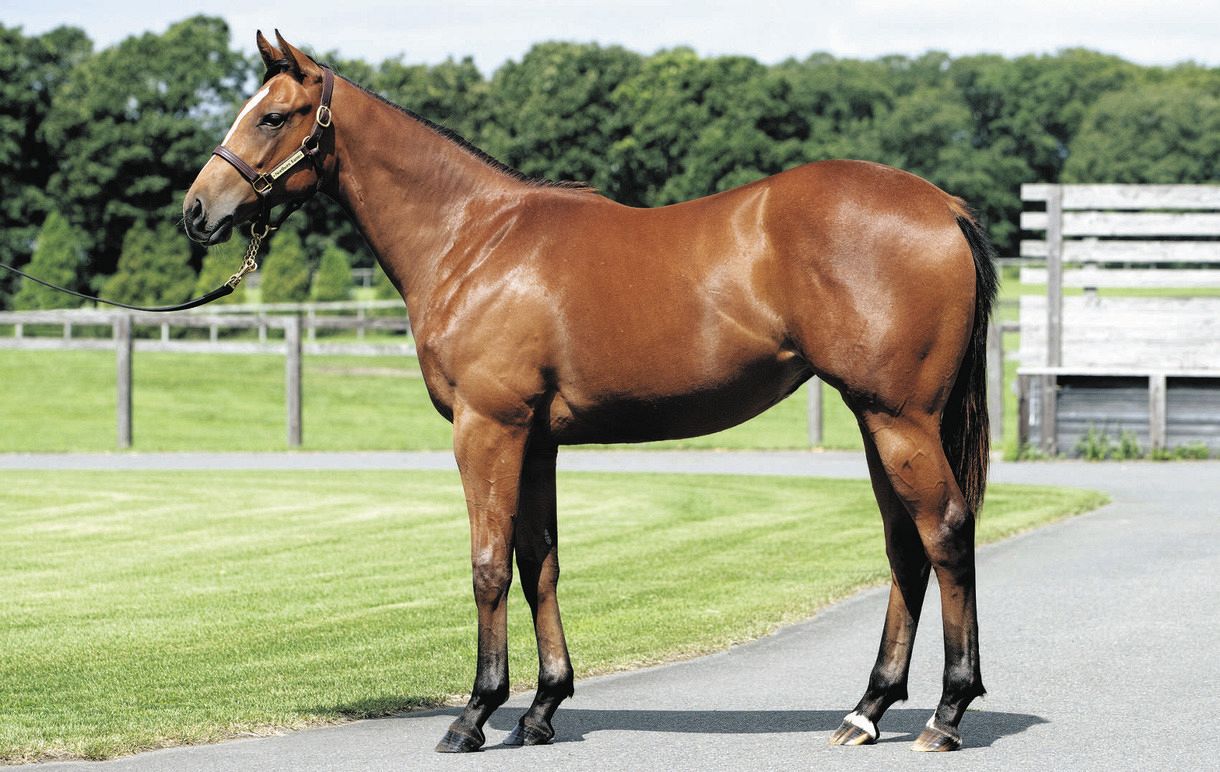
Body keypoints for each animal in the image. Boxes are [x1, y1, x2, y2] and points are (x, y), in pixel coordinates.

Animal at [184, 32, 997, 754]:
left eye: (272, 116)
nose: (197, 211)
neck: (474, 238)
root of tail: (943, 207)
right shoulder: (537, 438)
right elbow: (537, 561)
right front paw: (542, 708)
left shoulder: (488, 428)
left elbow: (487, 563)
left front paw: (473, 714)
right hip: (875, 418)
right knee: (904, 545)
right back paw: (868, 709)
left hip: (900, 419)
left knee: (945, 531)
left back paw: (946, 713)